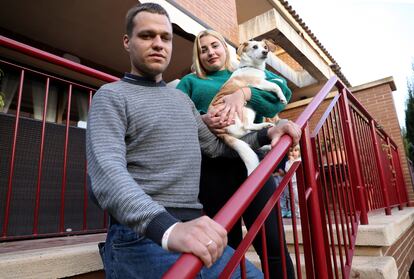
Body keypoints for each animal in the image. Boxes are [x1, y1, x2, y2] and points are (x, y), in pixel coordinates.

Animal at [210, 39, 288, 175]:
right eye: (255, 47)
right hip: (246, 108)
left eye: (265, 47)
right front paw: (282, 97)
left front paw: (281, 80)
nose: (265, 52)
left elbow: (276, 81)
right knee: (247, 126)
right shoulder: (260, 83)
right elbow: (275, 86)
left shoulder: (264, 80)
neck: (251, 66)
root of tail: (222, 133)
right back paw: (265, 125)